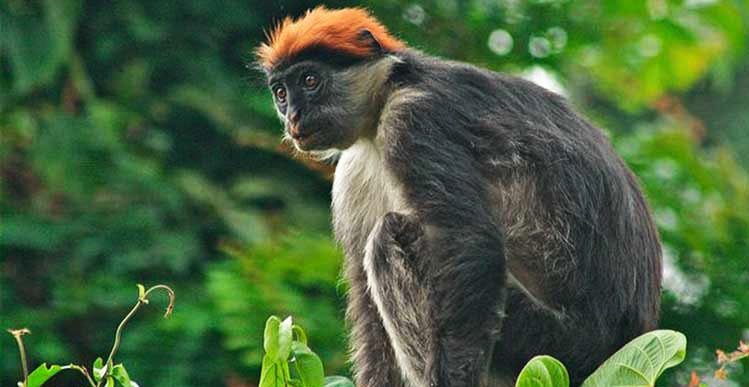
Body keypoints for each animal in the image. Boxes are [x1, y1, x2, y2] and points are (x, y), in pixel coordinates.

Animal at [256, 6, 660, 387]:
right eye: (281, 93)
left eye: (310, 81)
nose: (293, 116)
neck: (388, 96)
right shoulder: (352, 171)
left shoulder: (415, 118)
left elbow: (470, 242)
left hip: (553, 341)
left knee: (392, 236)